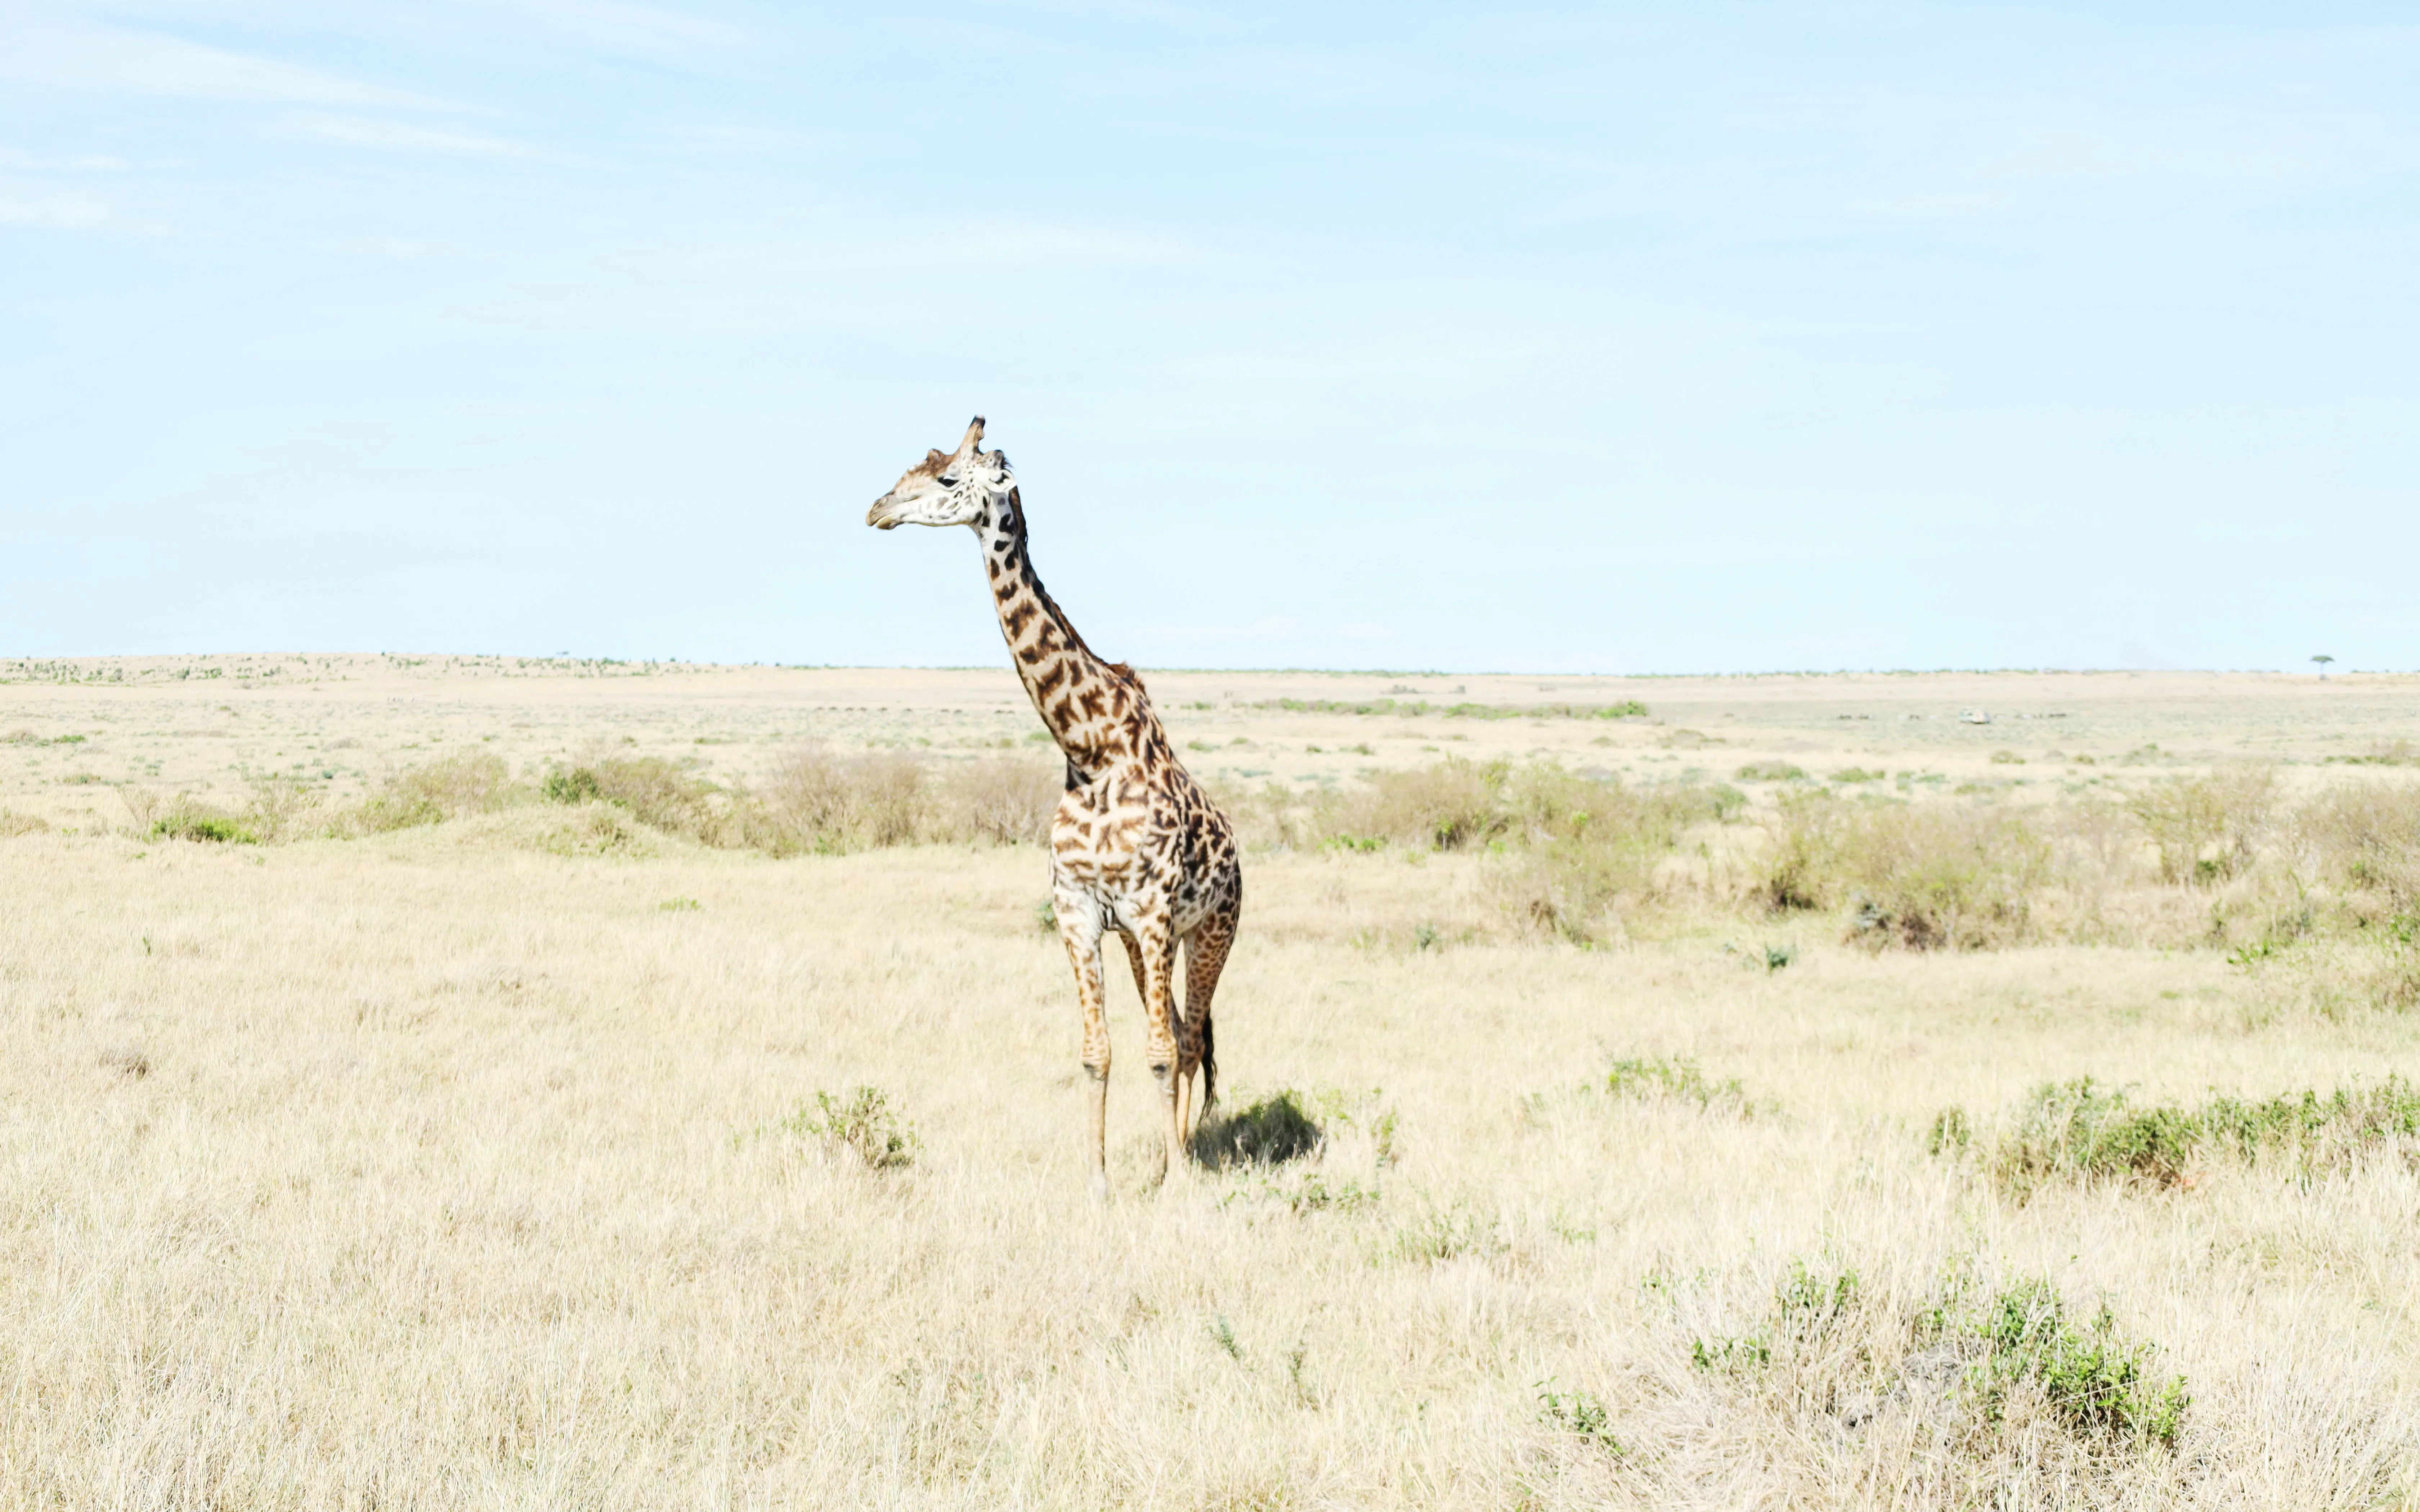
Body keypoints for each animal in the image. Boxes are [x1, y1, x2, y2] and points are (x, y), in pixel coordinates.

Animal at [866, 417, 1244, 1199]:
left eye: (948, 478)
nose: (878, 509)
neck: (1090, 747)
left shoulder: (1153, 912)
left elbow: (1160, 1051)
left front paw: (1175, 1183)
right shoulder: (1080, 911)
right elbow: (1098, 1051)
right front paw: (1099, 1183)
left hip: (1212, 930)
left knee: (1190, 1039)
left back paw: (1186, 1158)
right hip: (1144, 942)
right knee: (1174, 1031)